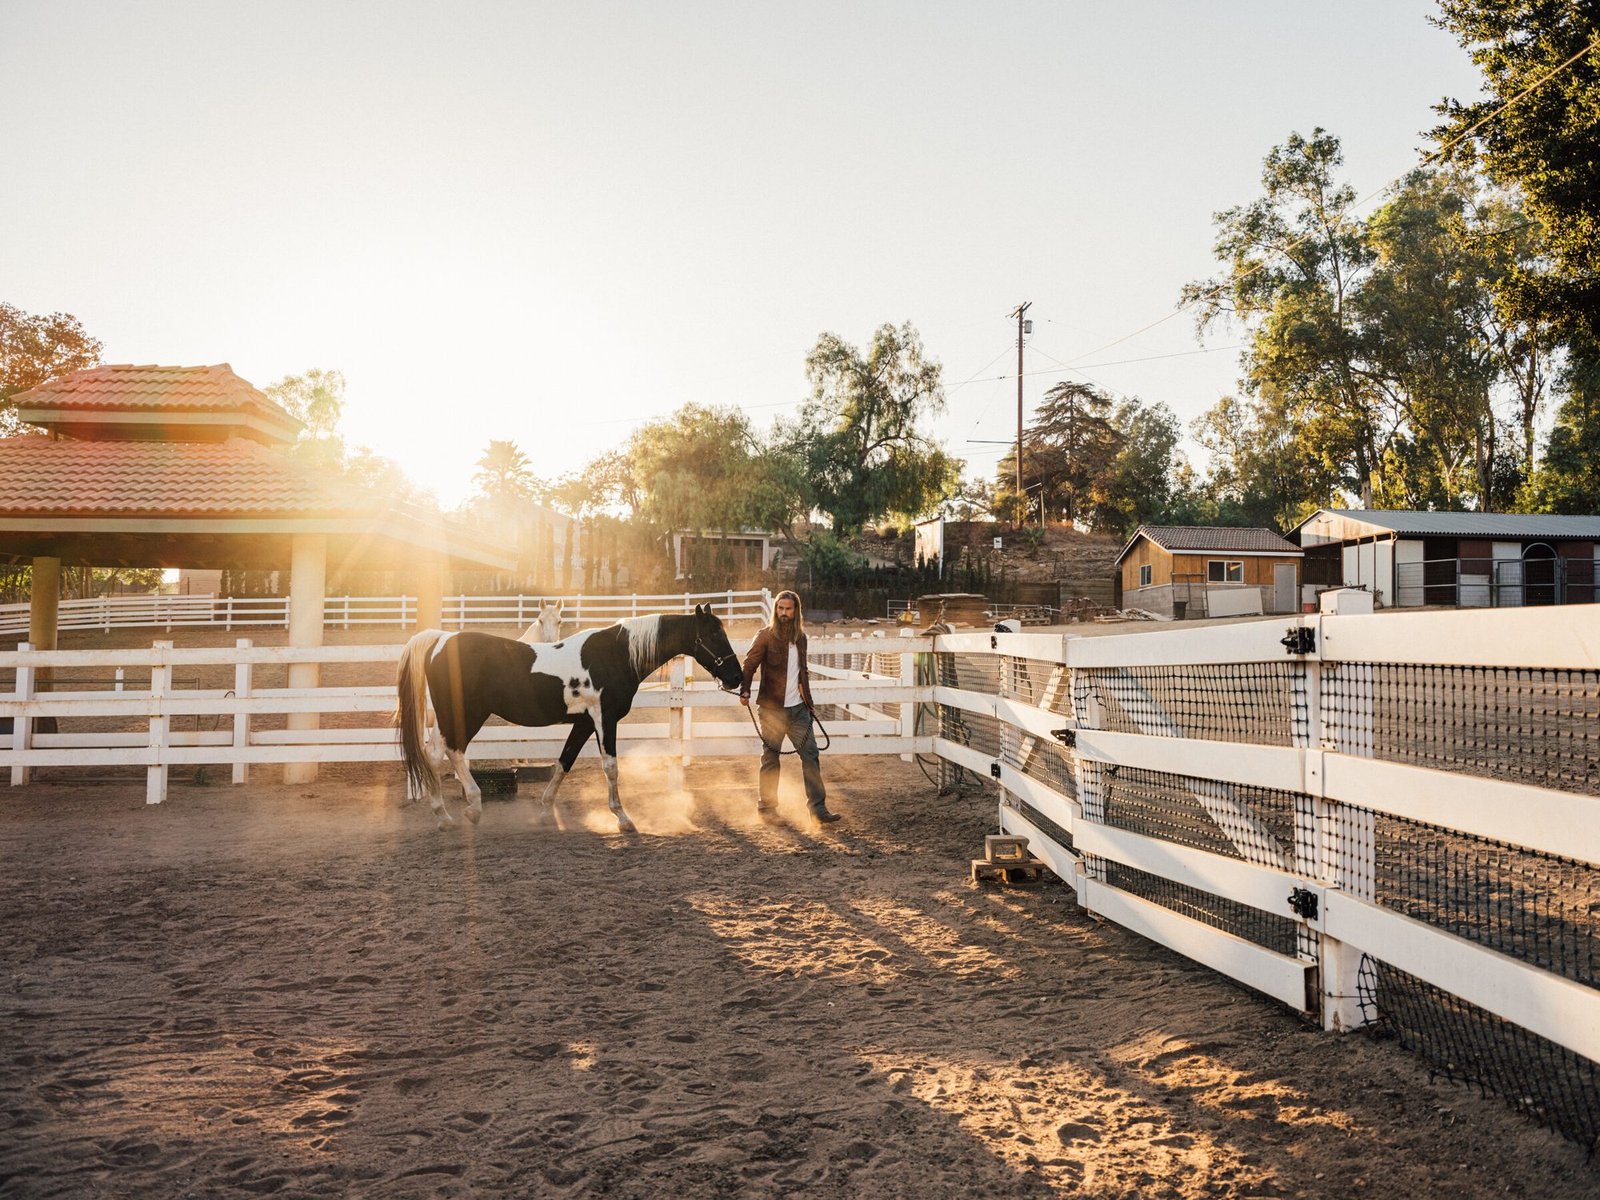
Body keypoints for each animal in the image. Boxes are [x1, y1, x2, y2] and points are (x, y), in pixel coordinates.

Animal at [397, 604, 743, 832]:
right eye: (713, 634)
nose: (737, 677)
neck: (616, 654)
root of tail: (440, 641)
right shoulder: (605, 719)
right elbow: (611, 768)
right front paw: (623, 819)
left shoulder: (584, 722)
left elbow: (564, 762)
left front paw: (545, 812)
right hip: (467, 714)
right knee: (452, 752)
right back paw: (470, 808)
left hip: (450, 716)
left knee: (435, 754)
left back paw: (445, 815)